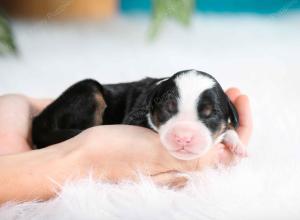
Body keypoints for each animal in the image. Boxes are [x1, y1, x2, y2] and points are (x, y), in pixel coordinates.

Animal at [32, 69, 247, 161]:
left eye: (210, 114)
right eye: (168, 109)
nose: (183, 138)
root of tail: (38, 120)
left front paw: (237, 145)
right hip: (88, 89)